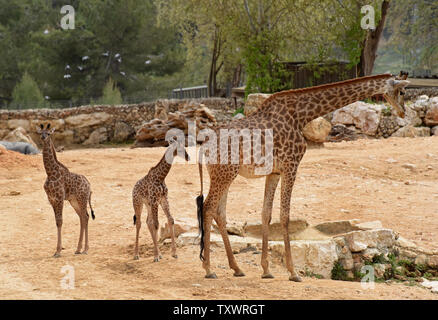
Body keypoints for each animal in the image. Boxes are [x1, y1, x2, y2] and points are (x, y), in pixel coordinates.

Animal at [197, 72, 408, 280]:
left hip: (224, 174)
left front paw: (266, 270)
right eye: (402, 91)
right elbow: (285, 216)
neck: (301, 115)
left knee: (219, 213)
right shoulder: (291, 165)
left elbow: (266, 214)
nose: (403, 112)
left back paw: (236, 268)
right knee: (208, 207)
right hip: (224, 173)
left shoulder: (274, 172)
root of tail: (204, 145)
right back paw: (208, 269)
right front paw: (293, 272)